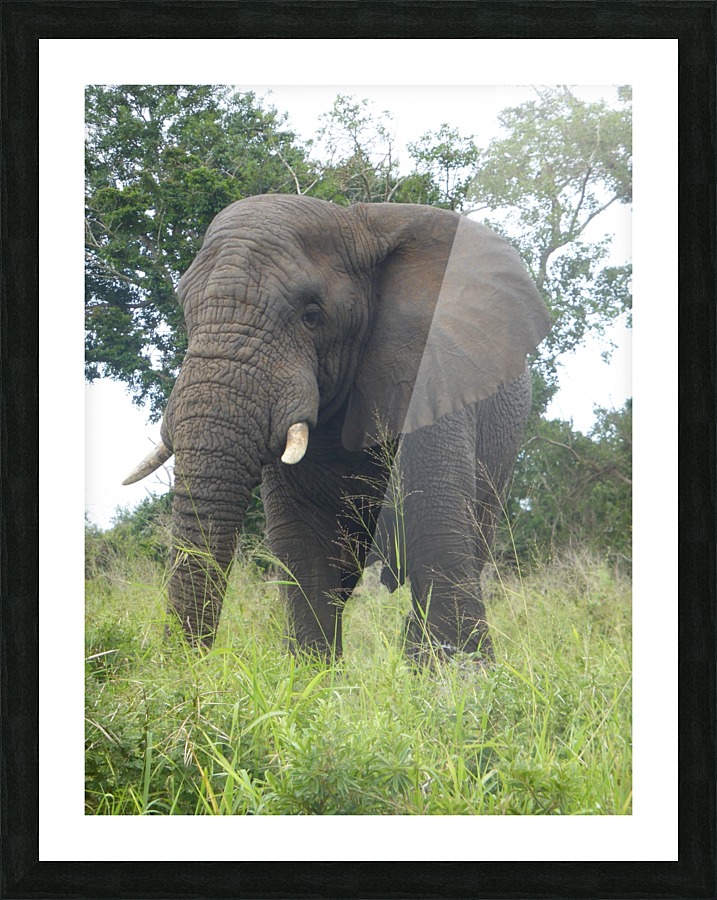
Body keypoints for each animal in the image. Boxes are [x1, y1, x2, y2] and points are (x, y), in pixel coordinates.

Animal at [123, 194, 550, 663]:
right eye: (185, 313)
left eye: (311, 315)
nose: (191, 666)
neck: (358, 225)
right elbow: (306, 545)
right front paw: (313, 675)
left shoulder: (434, 373)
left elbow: (433, 515)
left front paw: (462, 674)